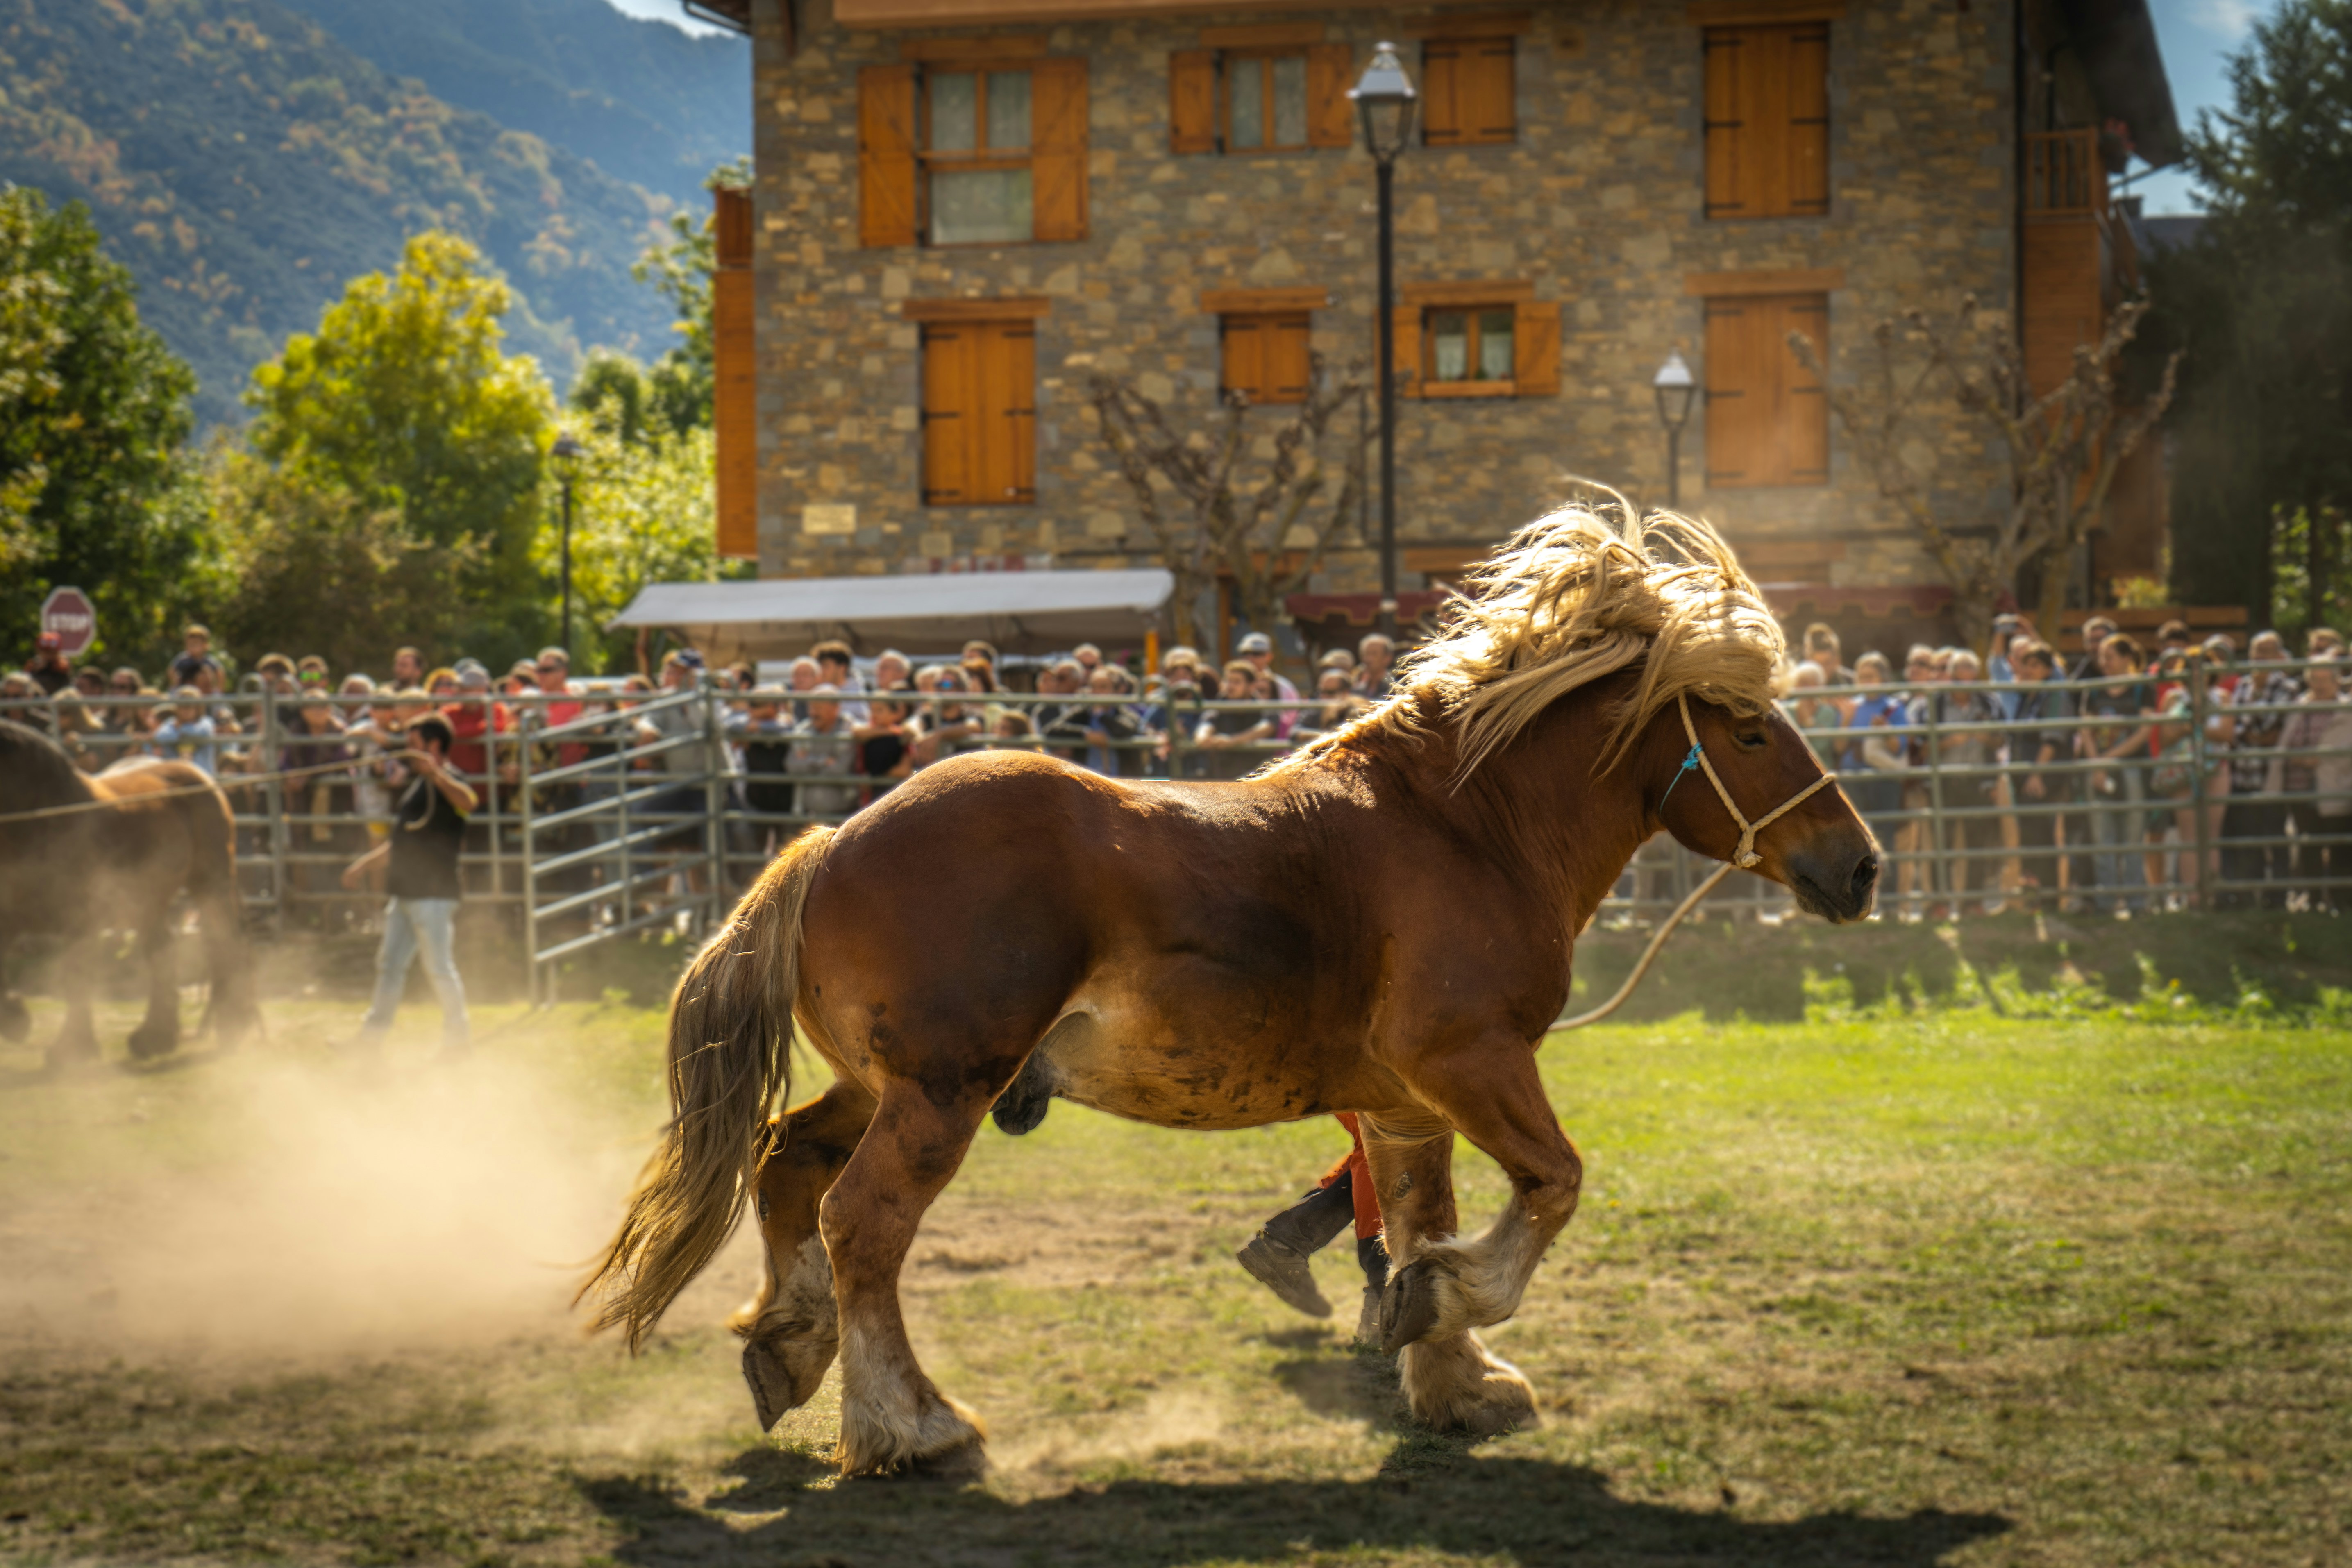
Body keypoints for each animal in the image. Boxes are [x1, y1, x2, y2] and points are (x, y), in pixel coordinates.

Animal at [0, 718, 258, 1067]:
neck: (40, 822)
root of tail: (200, 777)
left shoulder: (82, 919)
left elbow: (76, 976)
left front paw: (71, 1049)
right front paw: (17, 1020)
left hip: (211, 882)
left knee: (223, 942)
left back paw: (231, 1024)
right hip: (147, 899)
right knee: (162, 950)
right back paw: (155, 1037)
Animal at [581, 505, 1879, 1476]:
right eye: (1750, 729)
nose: (1860, 864)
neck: (1467, 828)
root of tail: (828, 841)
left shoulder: (1406, 1099)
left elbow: (1421, 1213)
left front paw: (1447, 1366)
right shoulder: (1471, 1057)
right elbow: (1549, 1187)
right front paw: (1448, 1303)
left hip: (879, 1083)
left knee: (785, 1164)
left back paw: (787, 1344)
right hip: (944, 1089)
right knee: (864, 1222)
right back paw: (915, 1424)